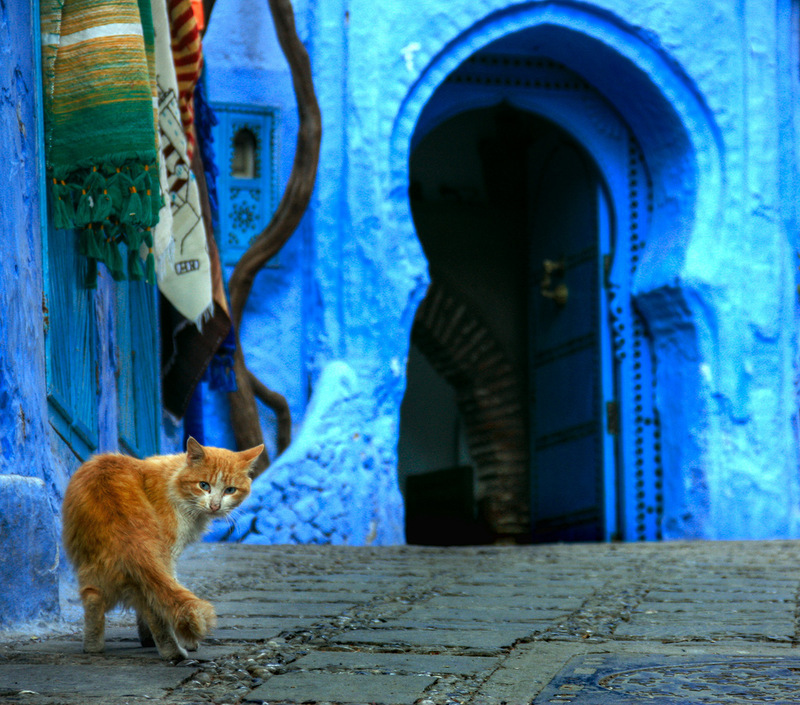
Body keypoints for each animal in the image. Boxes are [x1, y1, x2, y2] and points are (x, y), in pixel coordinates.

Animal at [63, 438, 262, 656]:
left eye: (230, 490)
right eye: (204, 485)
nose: (215, 506)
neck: (173, 482)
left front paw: (146, 639)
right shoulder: (170, 552)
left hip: (91, 568)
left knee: (94, 600)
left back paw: (93, 647)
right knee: (154, 608)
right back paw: (174, 652)